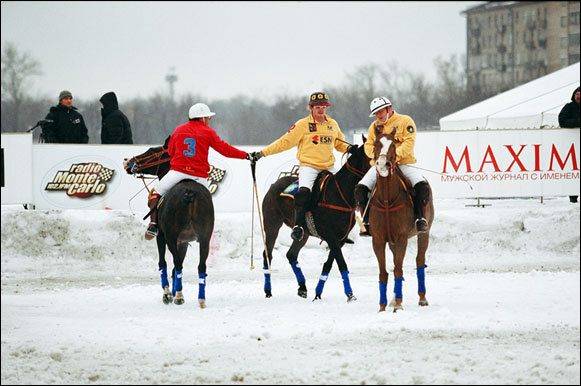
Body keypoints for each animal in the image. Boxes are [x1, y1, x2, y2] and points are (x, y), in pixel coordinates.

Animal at [123, 143, 214, 310]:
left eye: (152, 151)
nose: (128, 162)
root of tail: (189, 192)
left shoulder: (162, 236)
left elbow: (163, 263)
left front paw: (167, 294)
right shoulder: (183, 241)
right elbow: (176, 267)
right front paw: (174, 290)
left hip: (170, 236)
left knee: (176, 263)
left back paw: (178, 297)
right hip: (205, 238)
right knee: (200, 267)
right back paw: (201, 299)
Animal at [260, 137, 370, 304]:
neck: (340, 195)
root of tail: (274, 184)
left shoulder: (340, 239)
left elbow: (328, 265)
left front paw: (318, 294)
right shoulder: (331, 236)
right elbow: (342, 264)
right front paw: (350, 295)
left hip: (304, 234)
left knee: (291, 254)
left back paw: (302, 287)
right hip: (272, 225)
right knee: (268, 255)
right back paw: (268, 290)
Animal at [370, 131, 432, 312]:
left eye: (393, 144)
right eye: (376, 144)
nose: (382, 164)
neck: (387, 200)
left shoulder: (402, 238)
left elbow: (398, 269)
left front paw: (398, 305)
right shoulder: (378, 240)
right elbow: (384, 272)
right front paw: (383, 307)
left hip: (425, 232)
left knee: (420, 261)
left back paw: (422, 298)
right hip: (391, 242)